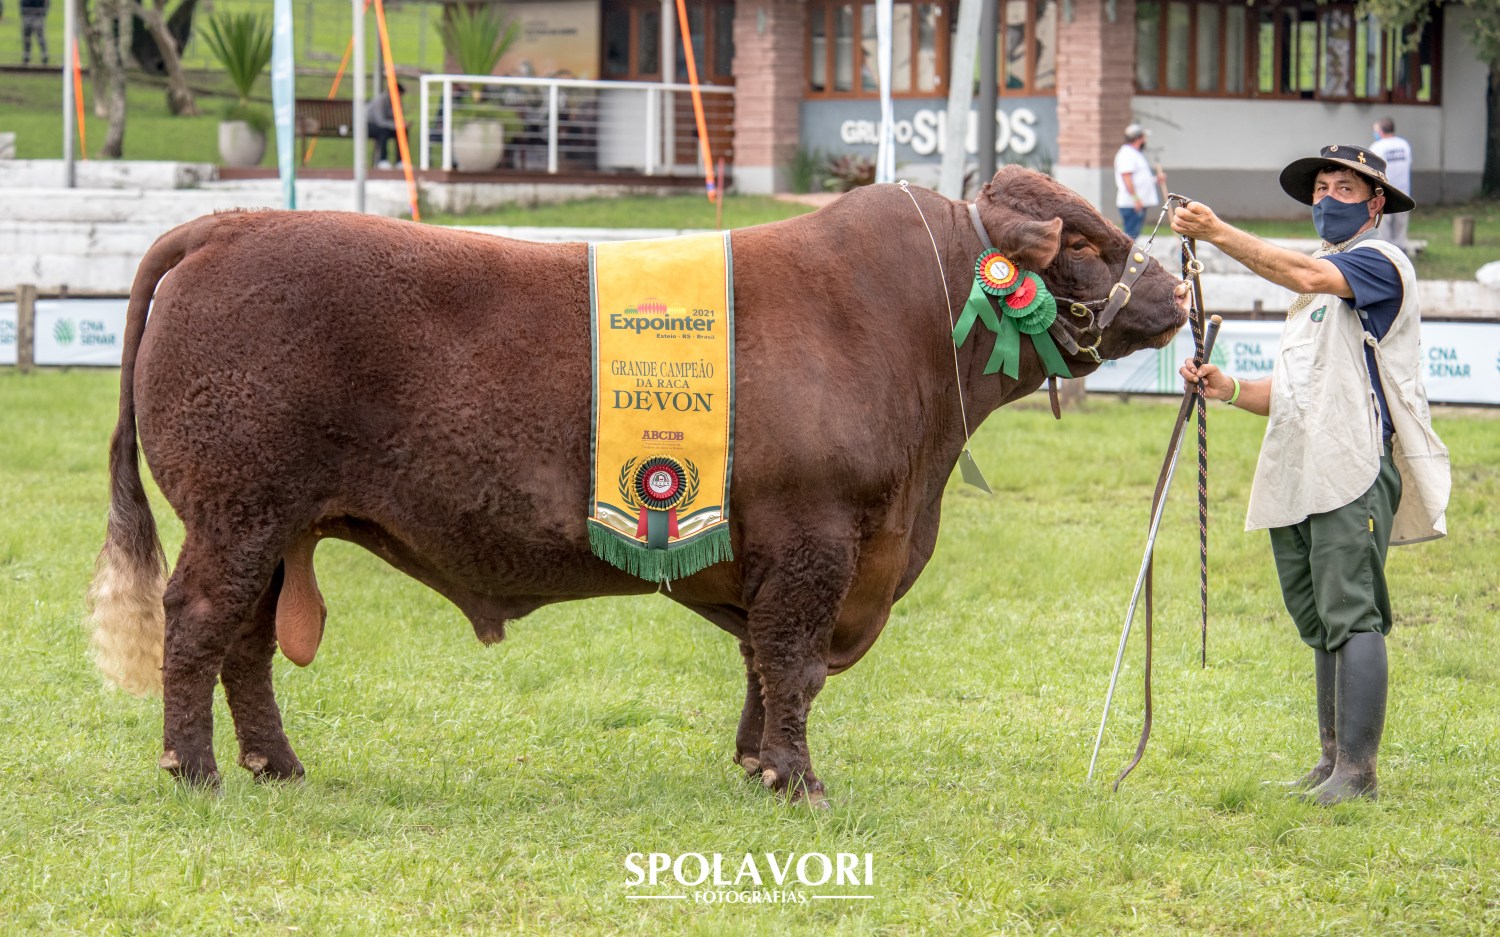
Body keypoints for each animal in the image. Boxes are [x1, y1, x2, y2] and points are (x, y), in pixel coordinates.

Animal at [87, 164, 1188, 797]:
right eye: (1090, 243)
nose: (1179, 292)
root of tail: (227, 224)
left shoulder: (773, 551)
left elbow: (761, 664)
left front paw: (756, 763)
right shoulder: (816, 540)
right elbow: (793, 662)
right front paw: (797, 780)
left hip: (274, 524)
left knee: (247, 641)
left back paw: (274, 766)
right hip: (235, 511)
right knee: (199, 623)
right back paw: (194, 772)